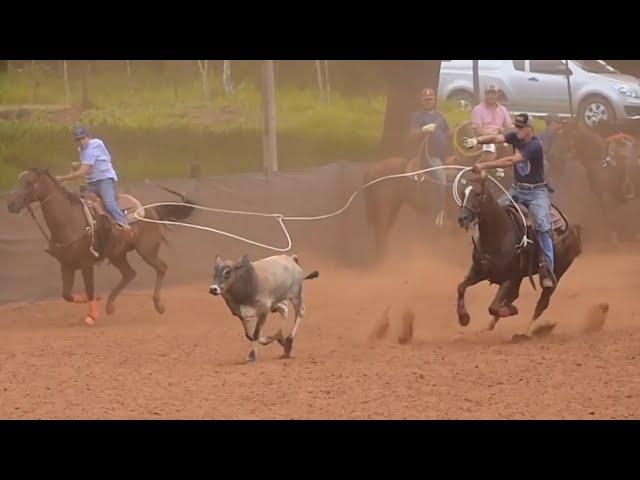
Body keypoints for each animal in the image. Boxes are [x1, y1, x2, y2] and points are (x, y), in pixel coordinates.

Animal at [6, 167, 192, 324]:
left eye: (29, 182)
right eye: (19, 180)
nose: (11, 204)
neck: (69, 220)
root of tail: (151, 210)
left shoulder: (86, 263)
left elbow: (89, 289)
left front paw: (92, 315)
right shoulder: (66, 265)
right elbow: (66, 294)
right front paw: (91, 300)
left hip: (147, 251)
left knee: (161, 268)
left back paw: (158, 305)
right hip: (117, 255)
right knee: (129, 274)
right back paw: (110, 306)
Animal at [456, 174, 580, 340]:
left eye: (478, 194)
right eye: (463, 193)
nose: (463, 218)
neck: (498, 235)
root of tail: (572, 229)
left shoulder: (509, 278)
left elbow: (493, 307)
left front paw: (511, 310)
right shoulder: (478, 272)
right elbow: (461, 288)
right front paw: (463, 318)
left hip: (557, 273)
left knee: (542, 303)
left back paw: (527, 332)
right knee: (515, 296)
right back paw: (489, 326)